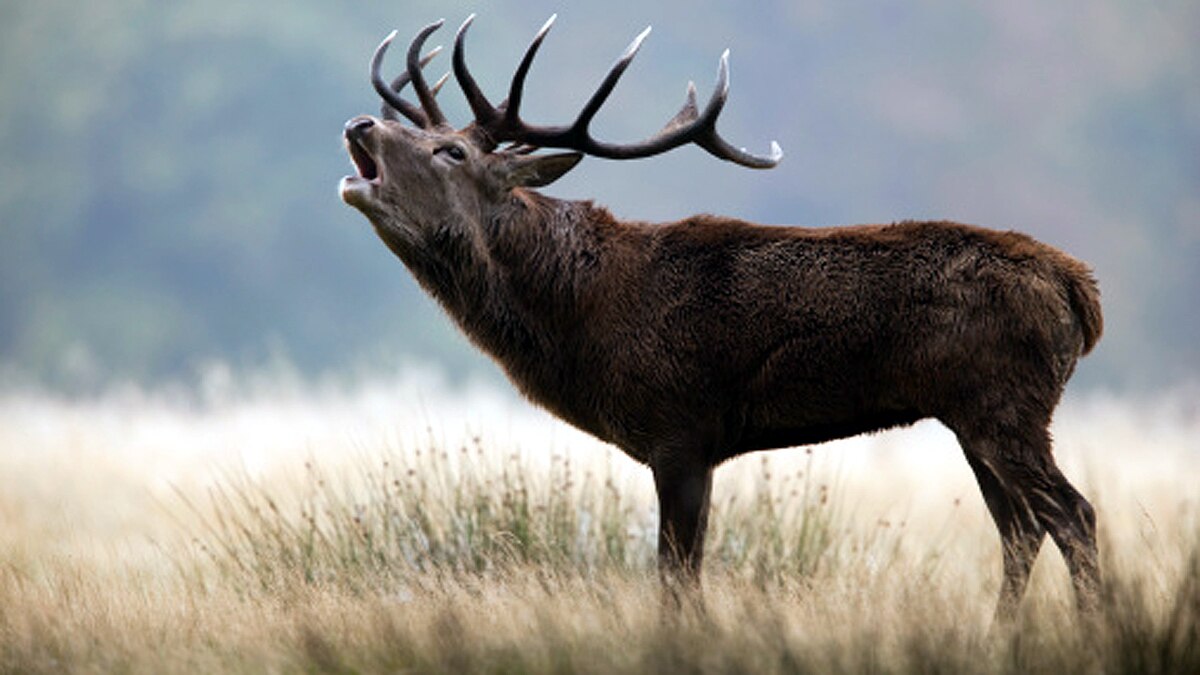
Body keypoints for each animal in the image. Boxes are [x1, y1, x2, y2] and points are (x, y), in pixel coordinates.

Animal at [339, 15, 1103, 620]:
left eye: (452, 151)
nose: (359, 122)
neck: (581, 319)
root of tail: (1081, 290)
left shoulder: (680, 426)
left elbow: (677, 579)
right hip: (973, 413)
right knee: (1019, 529)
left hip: (1005, 402)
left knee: (1073, 515)